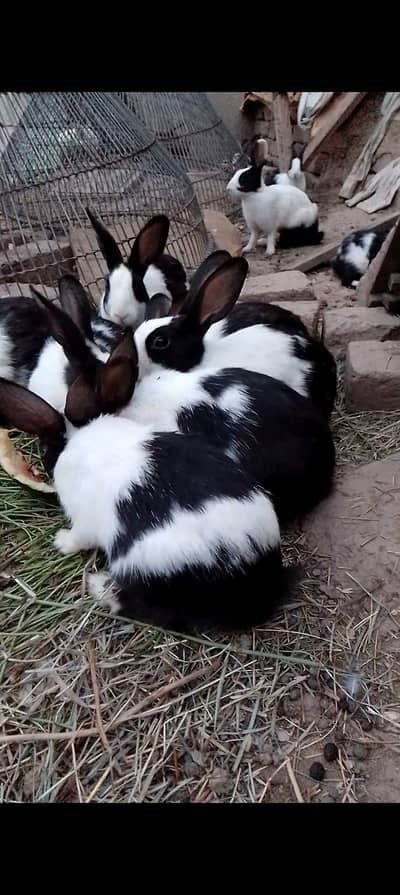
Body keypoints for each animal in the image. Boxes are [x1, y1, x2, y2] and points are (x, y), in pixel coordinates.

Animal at [0, 374, 289, 635]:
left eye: (45, 448)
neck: (78, 437)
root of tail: (251, 570)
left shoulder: (83, 521)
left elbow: (78, 538)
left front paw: (60, 542)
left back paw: (98, 586)